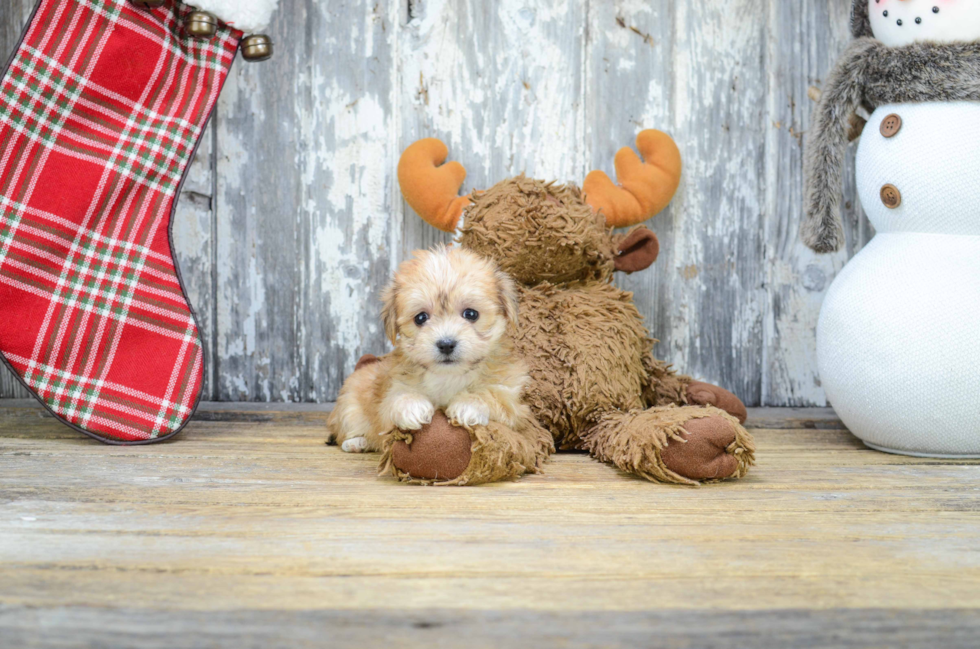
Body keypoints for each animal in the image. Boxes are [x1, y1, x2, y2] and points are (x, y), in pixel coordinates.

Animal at [328, 246, 528, 454]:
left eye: (471, 314)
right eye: (421, 318)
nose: (446, 344)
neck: (449, 375)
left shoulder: (513, 403)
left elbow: (491, 395)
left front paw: (469, 404)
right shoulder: (392, 389)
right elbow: (395, 399)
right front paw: (411, 406)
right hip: (349, 408)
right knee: (345, 431)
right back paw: (357, 442)